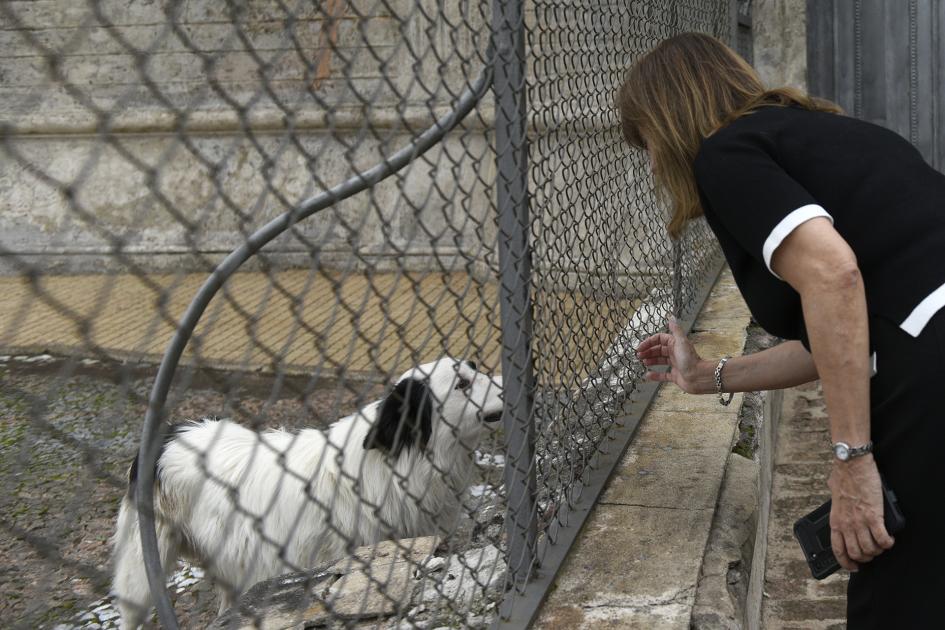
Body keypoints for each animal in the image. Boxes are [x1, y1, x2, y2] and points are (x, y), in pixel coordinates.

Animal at [112, 358, 502, 628]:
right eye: (463, 384)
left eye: (474, 368)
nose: (507, 385)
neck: (396, 466)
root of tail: (168, 433)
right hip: (143, 570)